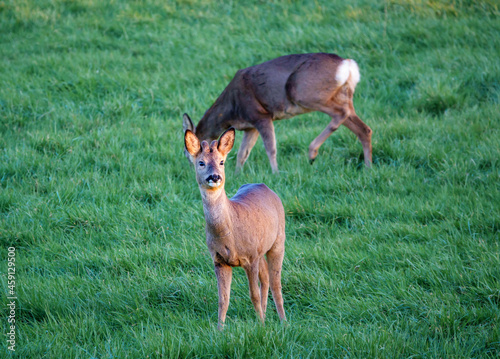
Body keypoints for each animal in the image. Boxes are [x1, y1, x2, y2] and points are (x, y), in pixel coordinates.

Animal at [183, 51, 372, 174]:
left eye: (186, 152)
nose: (193, 169)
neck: (231, 110)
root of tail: (347, 65)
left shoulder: (261, 115)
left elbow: (271, 148)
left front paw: (275, 173)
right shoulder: (250, 126)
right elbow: (242, 154)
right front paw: (237, 175)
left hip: (303, 91)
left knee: (341, 113)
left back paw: (312, 152)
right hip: (342, 94)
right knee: (363, 128)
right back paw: (368, 167)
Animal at [185, 128, 288, 330]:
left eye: (222, 161)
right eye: (201, 162)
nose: (215, 177)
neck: (230, 233)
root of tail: (265, 186)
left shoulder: (251, 256)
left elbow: (253, 295)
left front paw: (261, 326)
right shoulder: (219, 260)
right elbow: (223, 299)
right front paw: (219, 329)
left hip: (278, 241)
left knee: (275, 283)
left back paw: (283, 321)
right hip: (261, 249)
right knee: (266, 278)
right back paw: (268, 315)